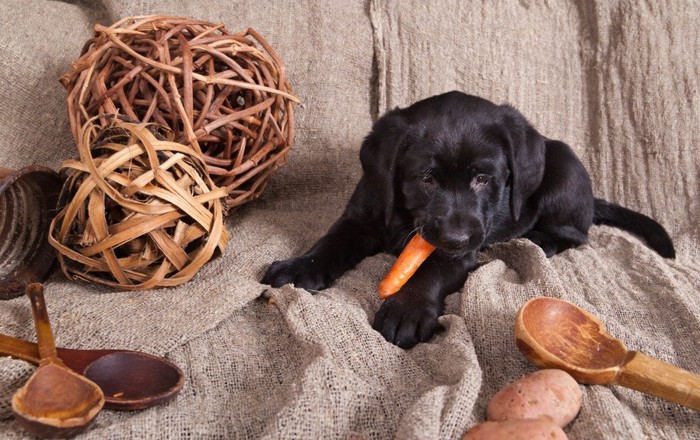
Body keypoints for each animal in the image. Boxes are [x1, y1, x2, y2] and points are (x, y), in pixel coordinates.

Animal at [262, 91, 672, 348]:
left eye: (482, 178)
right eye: (427, 178)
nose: (456, 237)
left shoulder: (461, 249)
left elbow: (430, 270)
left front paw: (406, 309)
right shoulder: (361, 216)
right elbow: (331, 241)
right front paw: (299, 266)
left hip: (565, 170)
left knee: (577, 234)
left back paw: (541, 240)